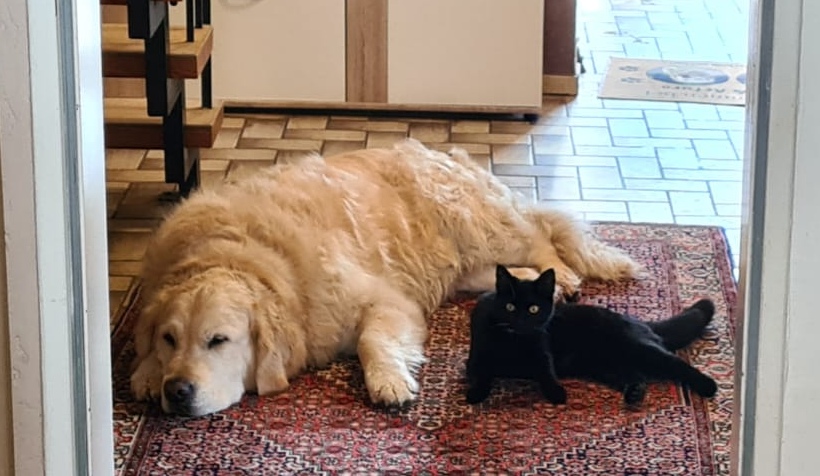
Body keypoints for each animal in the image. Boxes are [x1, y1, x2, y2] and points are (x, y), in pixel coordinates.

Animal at [130, 139, 641, 416]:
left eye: (218, 341)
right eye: (170, 339)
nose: (177, 392)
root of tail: (449, 155)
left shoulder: (385, 301)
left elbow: (371, 340)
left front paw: (389, 382)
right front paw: (146, 374)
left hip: (476, 224)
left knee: (541, 237)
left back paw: (566, 276)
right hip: (467, 264)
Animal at [465, 265, 718, 407]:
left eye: (533, 309)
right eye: (509, 307)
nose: (520, 321)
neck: (514, 342)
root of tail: (638, 322)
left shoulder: (541, 348)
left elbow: (546, 371)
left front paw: (556, 393)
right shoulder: (476, 356)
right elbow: (481, 372)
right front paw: (476, 393)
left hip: (638, 349)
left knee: (675, 363)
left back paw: (708, 385)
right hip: (605, 364)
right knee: (635, 375)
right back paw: (634, 394)